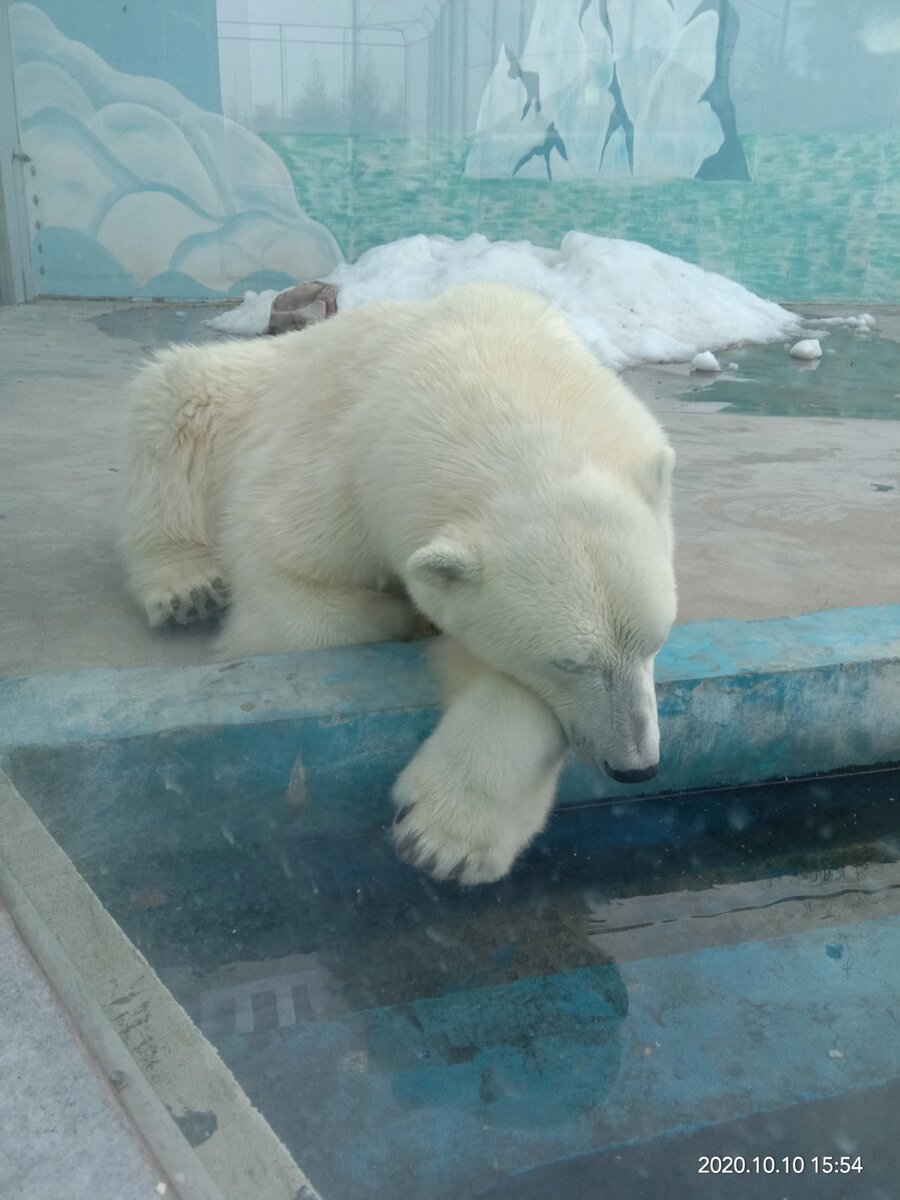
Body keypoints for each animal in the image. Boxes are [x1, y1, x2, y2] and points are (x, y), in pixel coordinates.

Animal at [121, 278, 676, 883]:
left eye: (655, 643)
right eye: (568, 663)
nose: (636, 767)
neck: (495, 382)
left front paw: (447, 838)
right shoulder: (342, 475)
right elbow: (279, 591)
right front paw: (408, 615)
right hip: (240, 392)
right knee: (177, 397)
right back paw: (187, 587)